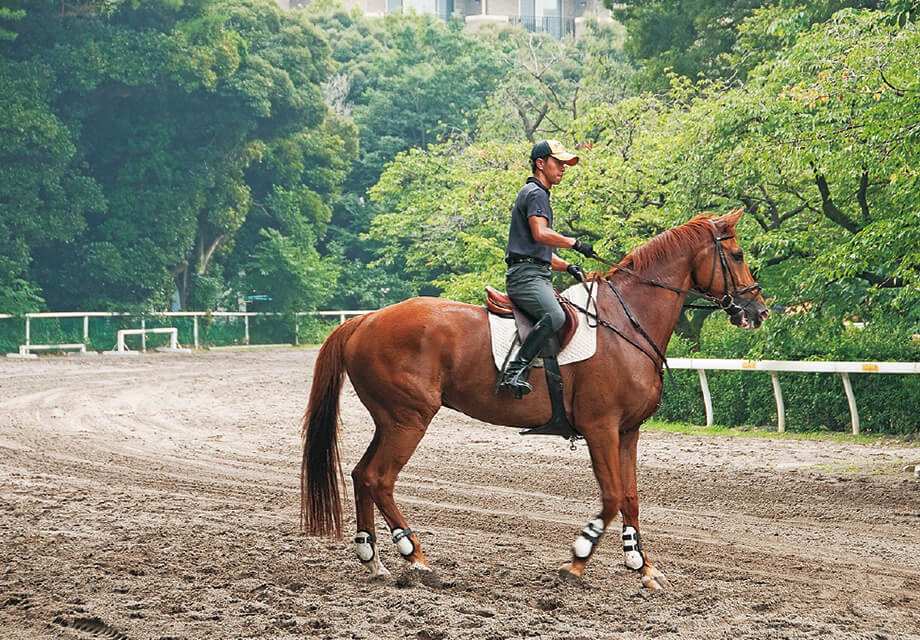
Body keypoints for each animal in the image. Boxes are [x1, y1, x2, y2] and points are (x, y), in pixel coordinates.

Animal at [300, 207, 768, 589]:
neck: (626, 323)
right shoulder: (600, 428)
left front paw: (643, 566)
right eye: (738, 254)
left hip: (390, 420)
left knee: (362, 475)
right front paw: (577, 560)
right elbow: (612, 497)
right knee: (379, 478)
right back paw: (414, 559)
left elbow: (631, 497)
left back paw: (373, 559)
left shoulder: (627, 431)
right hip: (409, 419)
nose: (758, 310)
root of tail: (365, 320)